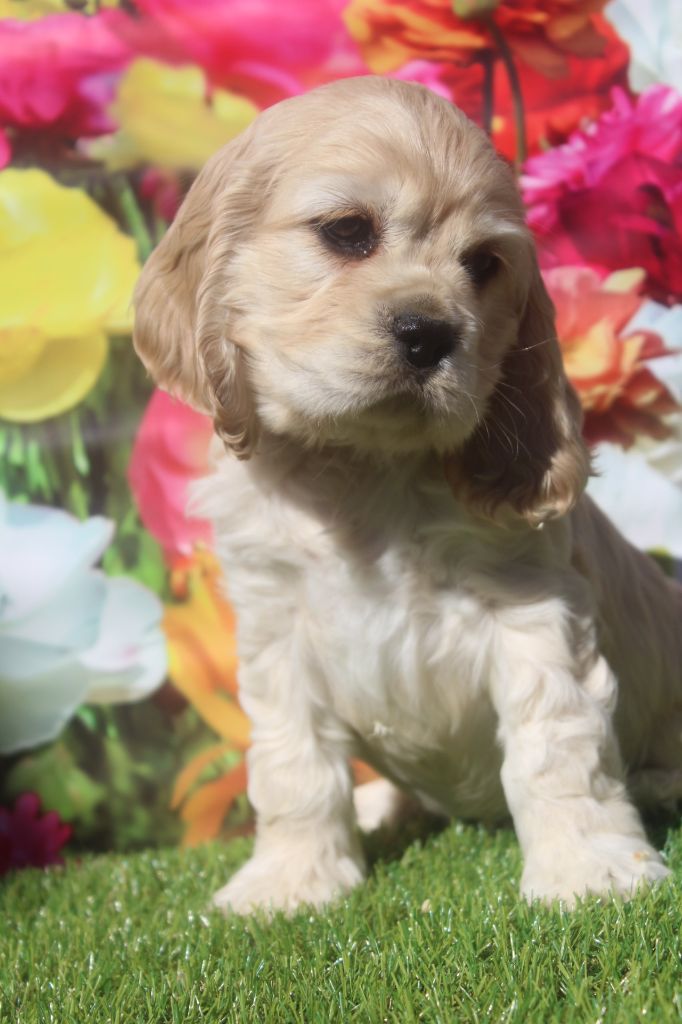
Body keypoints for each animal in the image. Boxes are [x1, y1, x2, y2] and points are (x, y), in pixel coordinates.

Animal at [134, 76, 682, 913]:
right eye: (347, 232)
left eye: (483, 264)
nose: (430, 333)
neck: (365, 466)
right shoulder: (277, 627)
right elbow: (292, 762)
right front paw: (290, 884)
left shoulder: (534, 604)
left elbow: (556, 740)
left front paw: (589, 873)